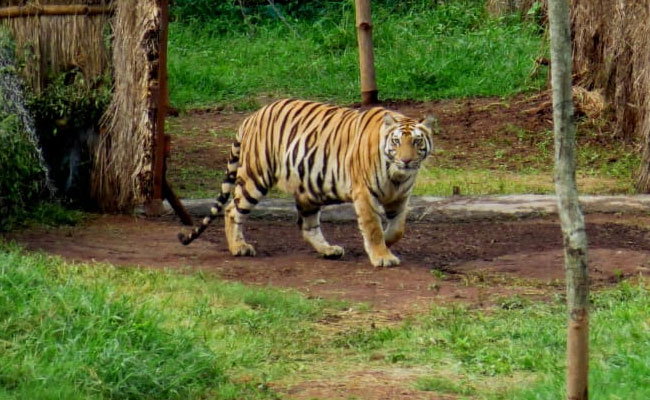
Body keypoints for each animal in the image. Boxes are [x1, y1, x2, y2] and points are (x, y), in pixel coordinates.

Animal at [178, 99, 436, 267]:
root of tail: (252, 116)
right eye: (396, 142)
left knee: (307, 226)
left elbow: (398, 228)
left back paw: (329, 250)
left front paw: (387, 242)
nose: (406, 160)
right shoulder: (364, 193)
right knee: (232, 209)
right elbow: (372, 227)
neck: (397, 177)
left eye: (416, 142)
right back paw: (238, 248)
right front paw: (382, 256)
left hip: (309, 187)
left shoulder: (401, 197)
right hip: (255, 176)